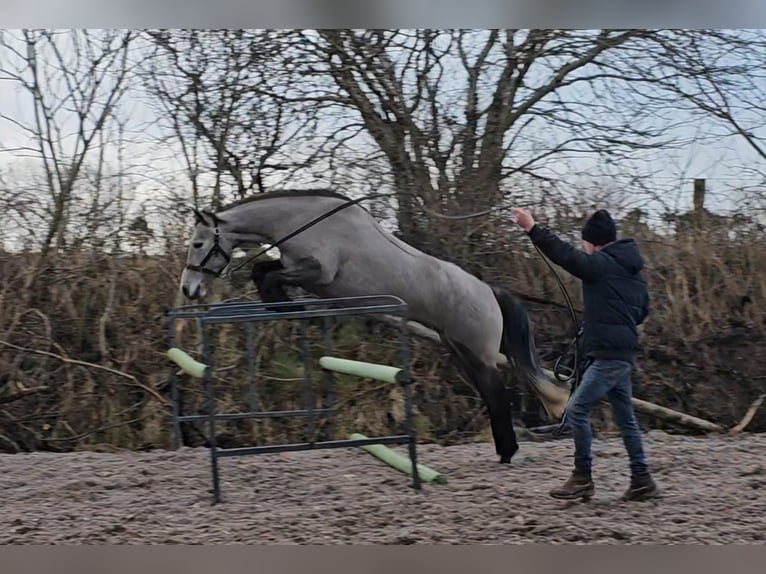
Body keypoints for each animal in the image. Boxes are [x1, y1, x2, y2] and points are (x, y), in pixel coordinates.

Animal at [180, 191, 564, 466]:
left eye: (198, 244)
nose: (189, 289)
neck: (303, 221)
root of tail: (489, 292)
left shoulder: (318, 273)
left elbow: (268, 274)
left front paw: (287, 306)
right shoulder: (302, 272)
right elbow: (262, 270)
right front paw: (283, 305)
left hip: (477, 353)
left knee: (498, 396)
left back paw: (508, 453)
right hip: (459, 351)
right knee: (491, 395)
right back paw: (504, 451)